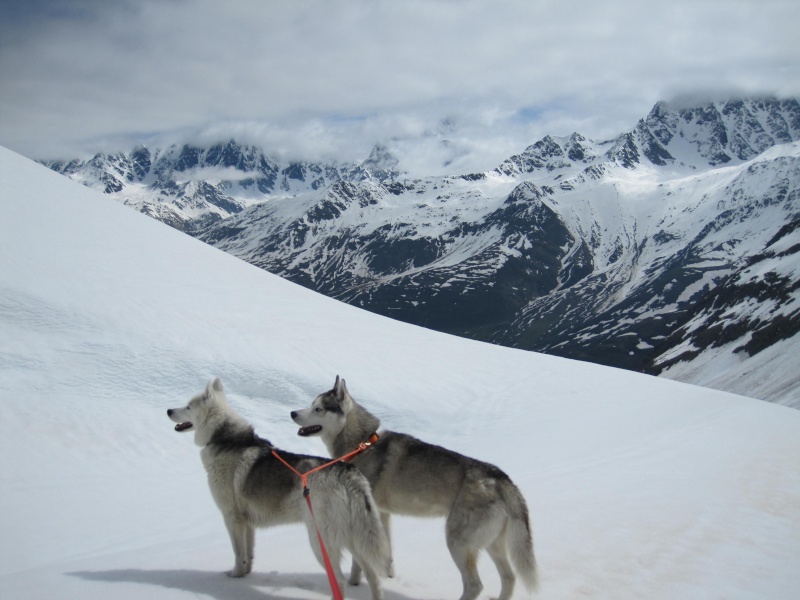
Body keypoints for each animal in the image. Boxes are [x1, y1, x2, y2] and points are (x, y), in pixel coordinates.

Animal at [169, 378, 390, 596]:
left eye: (188, 406)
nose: (169, 410)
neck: (223, 438)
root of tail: (348, 473)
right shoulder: (247, 523)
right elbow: (248, 555)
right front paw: (246, 575)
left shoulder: (232, 518)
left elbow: (238, 554)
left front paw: (235, 576)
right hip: (355, 540)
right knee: (374, 578)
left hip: (322, 541)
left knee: (340, 582)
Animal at [290, 378, 540, 596]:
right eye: (311, 404)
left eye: (319, 408)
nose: (293, 413)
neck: (361, 445)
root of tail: (502, 479)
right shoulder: (382, 514)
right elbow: (386, 553)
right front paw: (384, 576)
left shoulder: (366, 512)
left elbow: (359, 560)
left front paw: (354, 583)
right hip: (492, 544)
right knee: (509, 578)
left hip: (458, 541)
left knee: (475, 585)